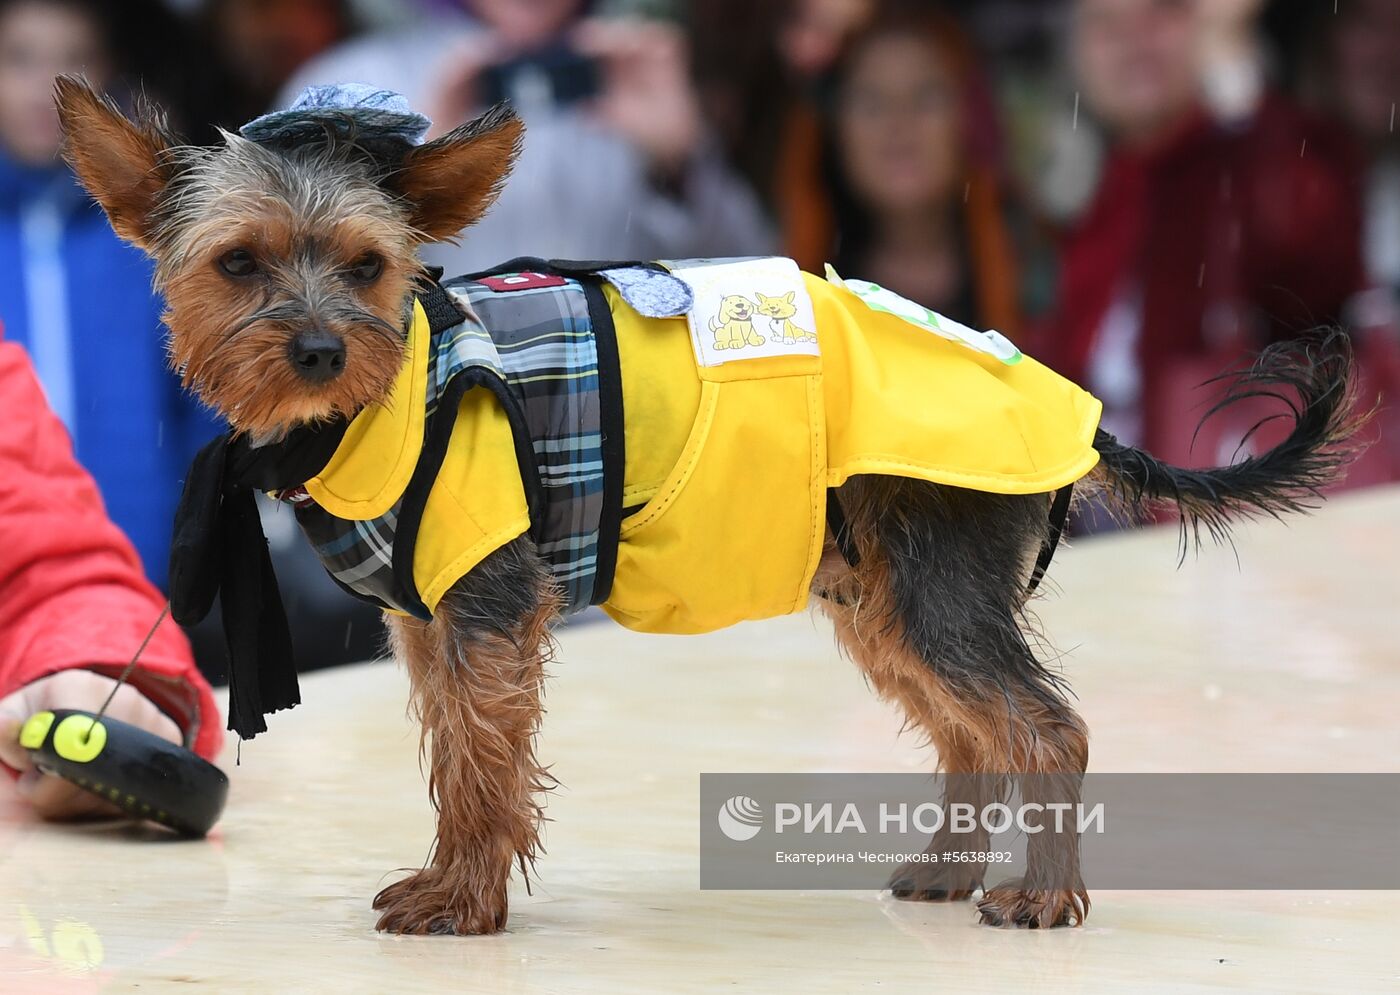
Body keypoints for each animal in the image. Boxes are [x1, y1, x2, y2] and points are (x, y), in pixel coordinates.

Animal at [54, 75, 1355, 934]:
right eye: (238, 263)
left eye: (368, 267)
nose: (322, 349)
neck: (386, 399)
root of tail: (1068, 406)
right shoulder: (431, 622)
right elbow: (459, 754)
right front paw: (456, 877)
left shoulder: (488, 606)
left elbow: (484, 760)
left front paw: (465, 897)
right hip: (889, 599)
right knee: (971, 733)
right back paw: (949, 868)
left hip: (935, 586)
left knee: (1043, 725)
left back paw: (1040, 891)